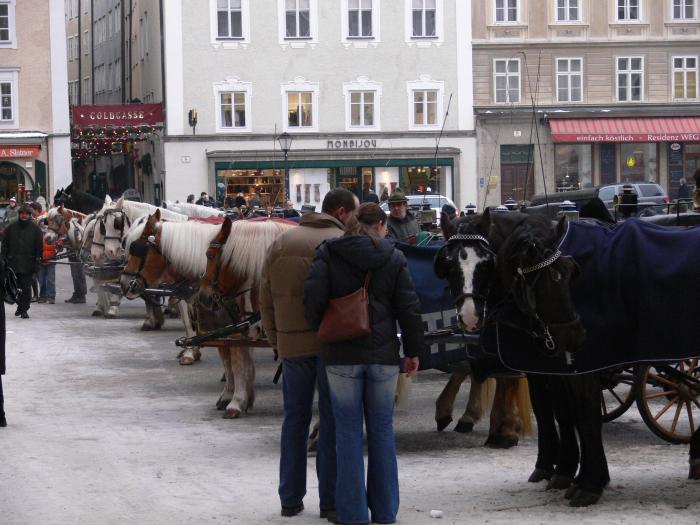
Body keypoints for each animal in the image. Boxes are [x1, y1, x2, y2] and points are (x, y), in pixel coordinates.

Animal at [438, 210, 608, 508]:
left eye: (487, 263)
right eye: (448, 266)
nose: (470, 316)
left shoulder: (579, 369)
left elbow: (582, 413)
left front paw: (588, 481)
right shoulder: (542, 369)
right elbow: (552, 410)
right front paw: (559, 468)